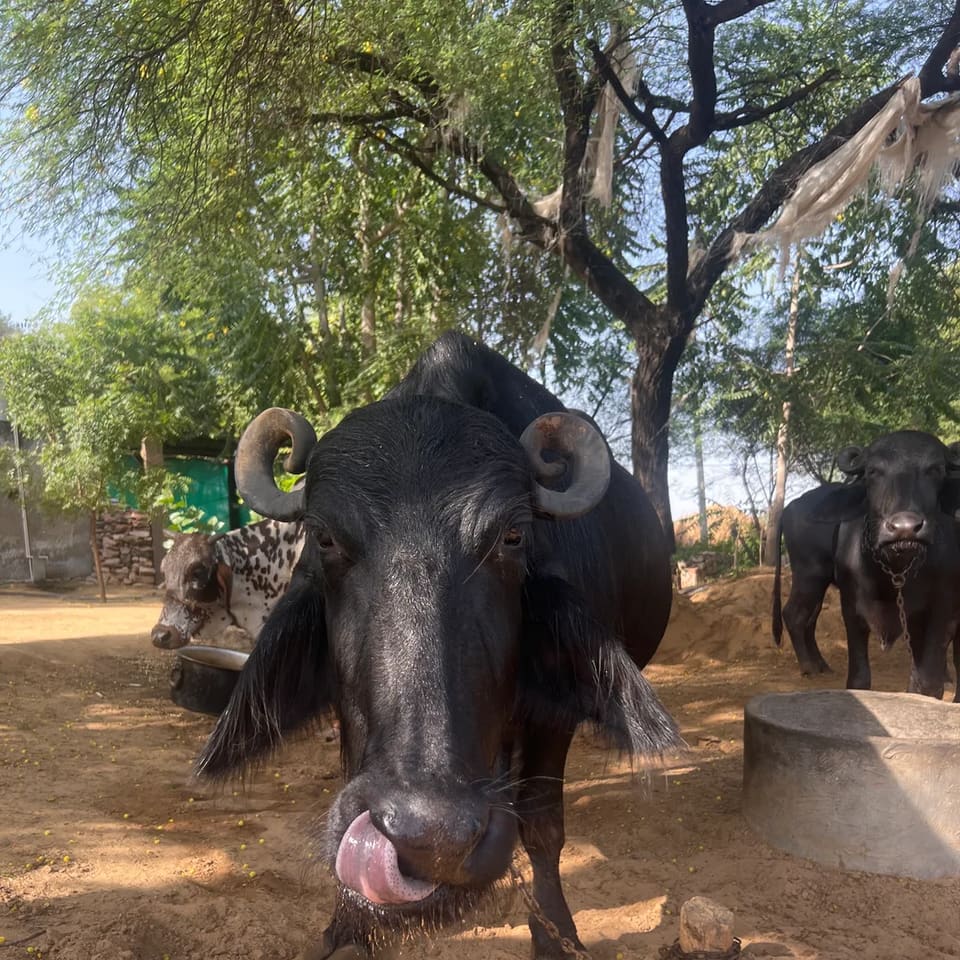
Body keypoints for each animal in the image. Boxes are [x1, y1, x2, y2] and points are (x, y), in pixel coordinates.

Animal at [197, 332, 680, 958]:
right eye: (324, 538)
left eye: (513, 536)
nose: (429, 838)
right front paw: (348, 929)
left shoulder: (554, 717)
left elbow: (543, 825)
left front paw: (557, 931)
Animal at [773, 430, 960, 699]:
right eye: (873, 471)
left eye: (936, 469)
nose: (904, 527)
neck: (895, 570)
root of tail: (790, 506)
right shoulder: (852, 605)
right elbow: (859, 678)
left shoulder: (943, 610)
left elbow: (926, 680)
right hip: (809, 573)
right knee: (796, 614)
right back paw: (810, 667)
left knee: (809, 616)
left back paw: (821, 664)